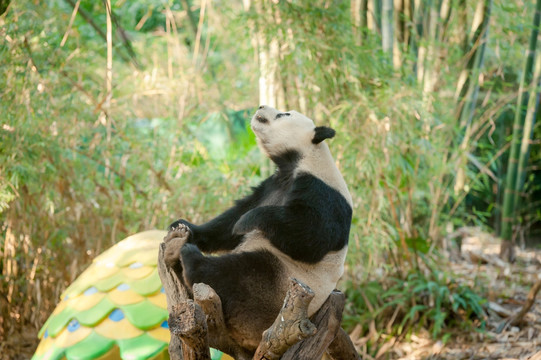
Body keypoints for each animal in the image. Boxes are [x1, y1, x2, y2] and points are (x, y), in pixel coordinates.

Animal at [167, 105, 352, 352]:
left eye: (284, 114)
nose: (261, 107)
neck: (300, 160)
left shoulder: (323, 192)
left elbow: (311, 237)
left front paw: (247, 221)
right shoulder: (272, 185)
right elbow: (231, 219)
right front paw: (185, 226)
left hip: (274, 286)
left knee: (239, 274)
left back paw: (190, 259)